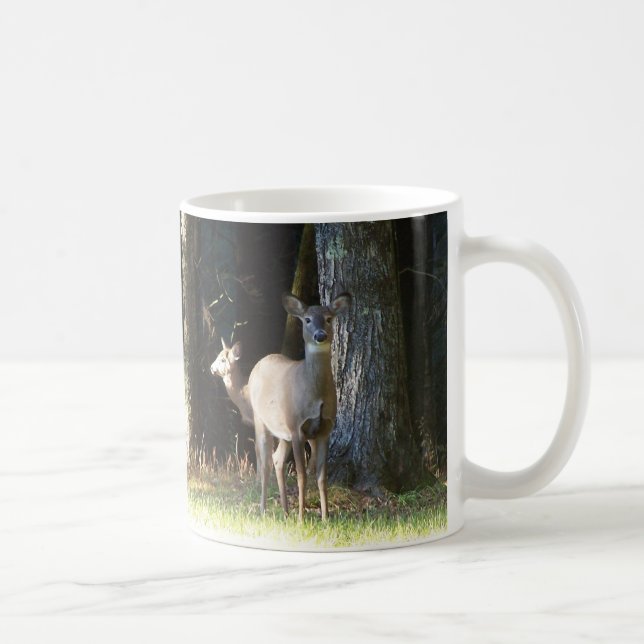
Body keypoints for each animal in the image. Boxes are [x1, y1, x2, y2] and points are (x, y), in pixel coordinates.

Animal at [247, 292, 351, 521]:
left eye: (329, 318)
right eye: (307, 320)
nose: (320, 335)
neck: (315, 396)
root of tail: (260, 362)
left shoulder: (325, 430)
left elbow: (321, 476)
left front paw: (325, 517)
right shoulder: (296, 426)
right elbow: (302, 476)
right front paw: (302, 518)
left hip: (283, 431)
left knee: (277, 460)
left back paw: (286, 511)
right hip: (261, 419)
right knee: (264, 462)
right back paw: (264, 510)